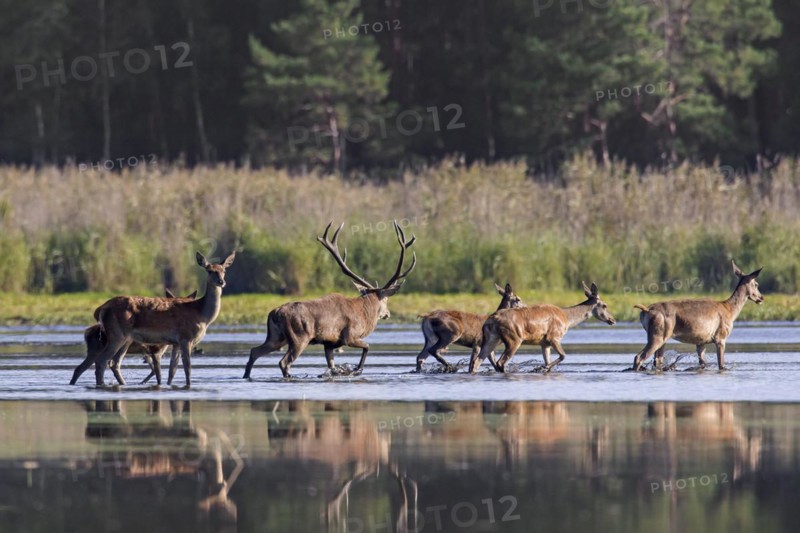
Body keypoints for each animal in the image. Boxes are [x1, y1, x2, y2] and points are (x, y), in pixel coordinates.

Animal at [70, 251, 235, 387]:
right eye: (209, 270)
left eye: (224, 270)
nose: (221, 282)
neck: (202, 315)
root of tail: (101, 308)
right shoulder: (185, 337)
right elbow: (187, 369)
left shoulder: (175, 343)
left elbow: (172, 371)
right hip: (117, 334)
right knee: (102, 361)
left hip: (125, 338)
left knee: (112, 363)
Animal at [243, 220, 416, 379]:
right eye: (386, 299)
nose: (387, 313)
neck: (366, 313)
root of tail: (275, 313)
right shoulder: (350, 336)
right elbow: (367, 346)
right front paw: (356, 370)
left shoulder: (330, 344)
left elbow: (331, 365)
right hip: (299, 337)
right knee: (284, 362)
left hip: (276, 337)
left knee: (255, 351)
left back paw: (246, 376)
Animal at [469, 282, 616, 373]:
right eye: (605, 305)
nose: (612, 320)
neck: (567, 319)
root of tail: (491, 320)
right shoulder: (554, 337)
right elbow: (563, 356)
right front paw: (539, 368)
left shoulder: (544, 343)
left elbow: (549, 362)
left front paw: (542, 368)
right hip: (514, 339)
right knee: (500, 362)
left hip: (491, 339)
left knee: (477, 362)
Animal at [630, 260, 763, 371]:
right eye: (756, 284)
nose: (761, 298)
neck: (730, 310)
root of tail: (646, 310)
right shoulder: (720, 337)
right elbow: (721, 364)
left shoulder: (701, 341)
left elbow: (703, 363)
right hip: (657, 335)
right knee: (639, 357)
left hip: (661, 337)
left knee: (657, 360)